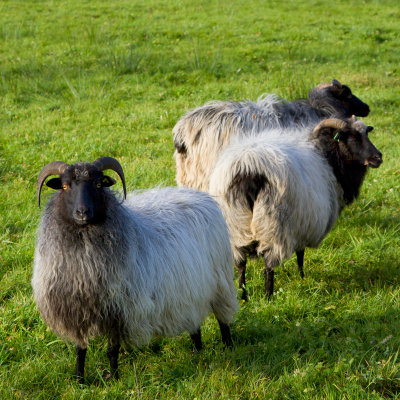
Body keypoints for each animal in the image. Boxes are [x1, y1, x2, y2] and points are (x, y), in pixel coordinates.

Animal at [32, 155, 238, 382]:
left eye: (98, 184)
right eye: (65, 186)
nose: (82, 212)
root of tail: (202, 196)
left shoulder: (120, 310)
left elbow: (112, 350)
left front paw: (114, 379)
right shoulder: (76, 310)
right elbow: (80, 350)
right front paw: (80, 381)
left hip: (220, 282)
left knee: (223, 319)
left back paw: (228, 348)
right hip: (189, 288)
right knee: (193, 320)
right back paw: (197, 351)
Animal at [208, 115, 382, 300]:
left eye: (366, 133)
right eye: (352, 138)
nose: (378, 157)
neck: (328, 157)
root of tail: (248, 169)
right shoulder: (303, 225)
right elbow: (300, 254)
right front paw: (302, 277)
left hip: (235, 224)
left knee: (241, 264)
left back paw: (244, 295)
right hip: (274, 224)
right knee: (269, 265)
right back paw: (268, 296)